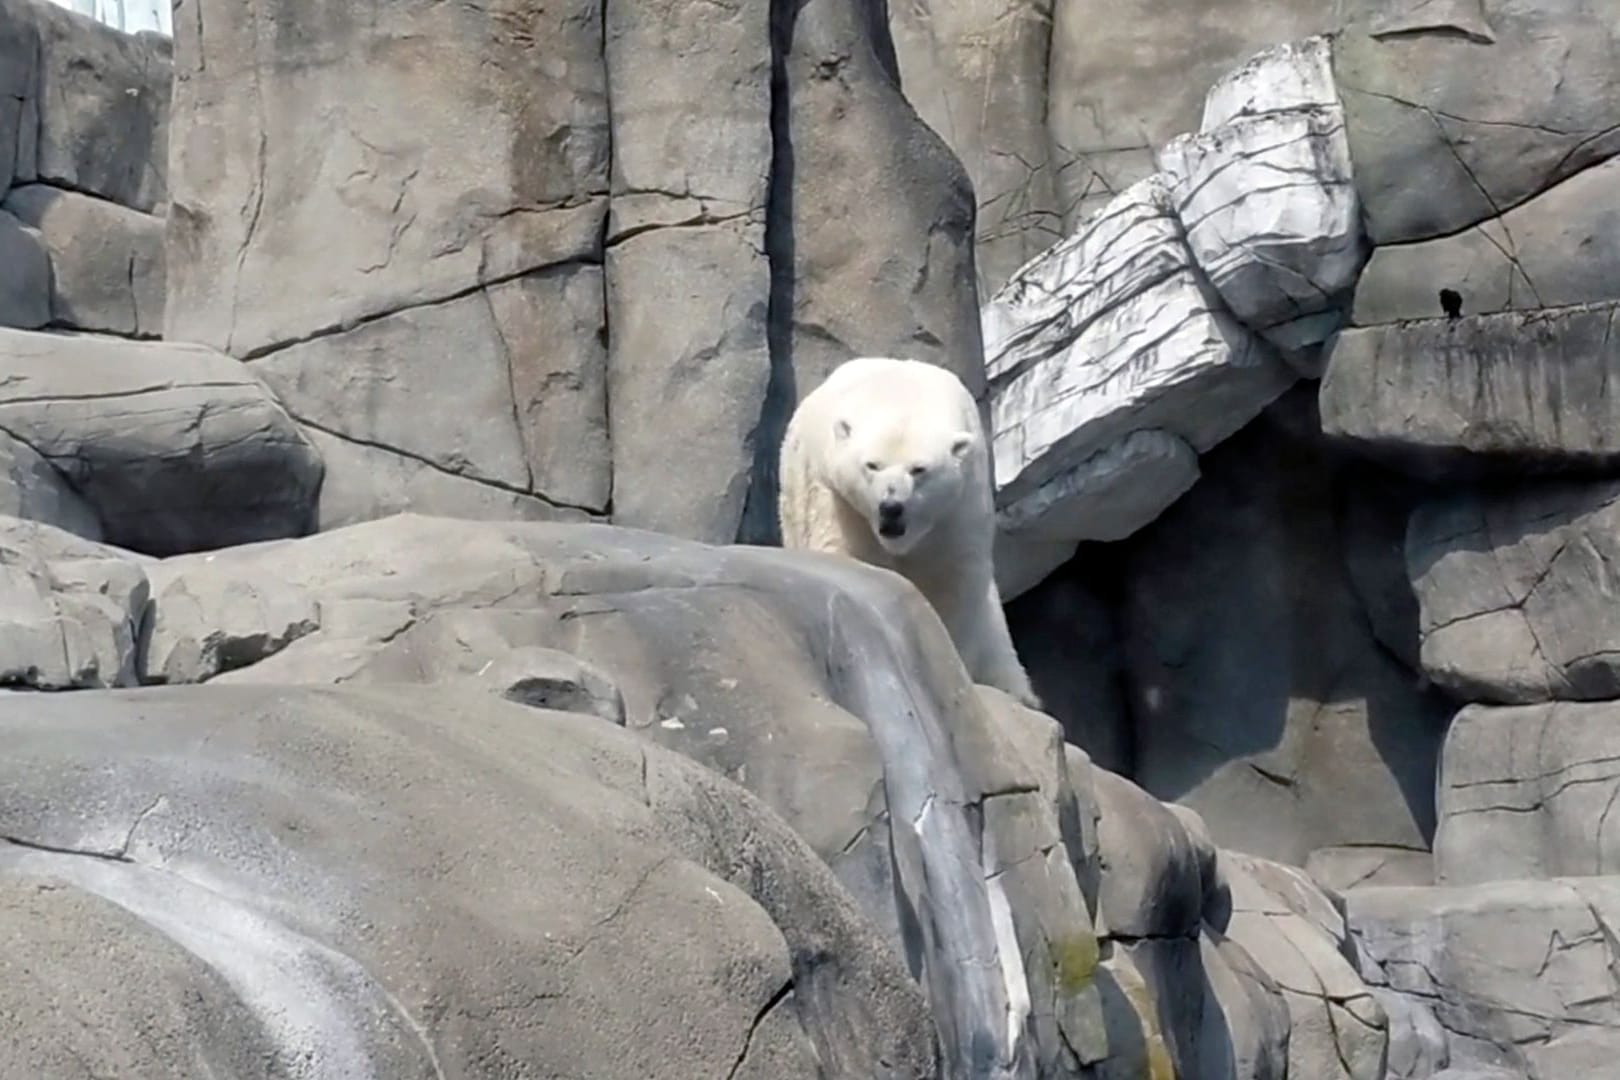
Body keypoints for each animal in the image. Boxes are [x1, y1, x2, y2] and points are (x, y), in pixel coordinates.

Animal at [780, 354, 1036, 709]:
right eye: (872, 465)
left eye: (919, 470)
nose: (891, 506)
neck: (900, 392)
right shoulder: (835, 495)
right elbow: (843, 551)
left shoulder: (959, 507)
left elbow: (953, 581)